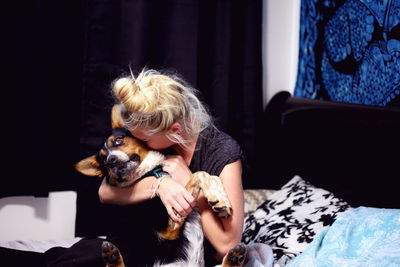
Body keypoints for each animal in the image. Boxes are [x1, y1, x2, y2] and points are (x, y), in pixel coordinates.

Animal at [73, 105, 245, 267]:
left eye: (118, 140)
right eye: (103, 161)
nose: (111, 160)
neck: (151, 172)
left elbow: (209, 175)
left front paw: (220, 199)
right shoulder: (169, 227)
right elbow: (199, 174)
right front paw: (219, 199)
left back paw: (235, 257)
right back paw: (112, 255)